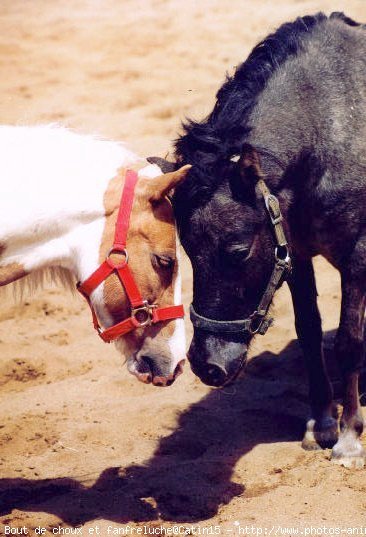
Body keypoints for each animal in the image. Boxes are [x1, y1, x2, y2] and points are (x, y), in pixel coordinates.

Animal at [152, 11, 366, 464]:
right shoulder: (294, 251)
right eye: (188, 251)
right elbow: (309, 331)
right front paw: (322, 424)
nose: (207, 366)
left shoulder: (358, 254)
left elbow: (348, 343)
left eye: (237, 250)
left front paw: (349, 439)